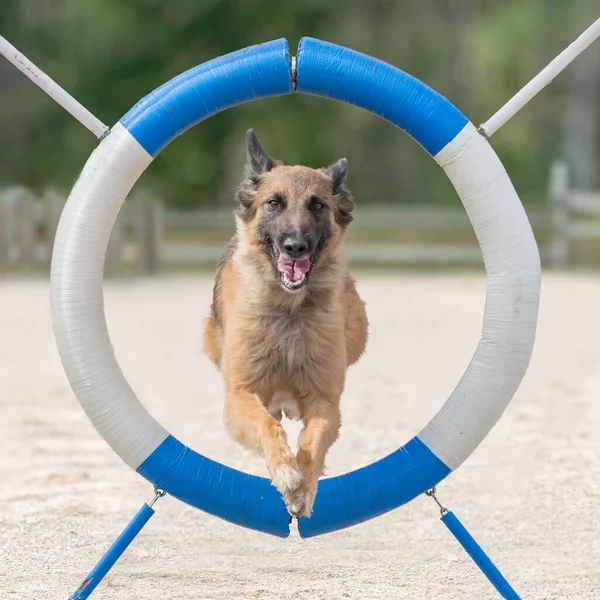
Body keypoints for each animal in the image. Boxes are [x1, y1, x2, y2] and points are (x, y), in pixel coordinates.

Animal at [204, 131, 368, 520]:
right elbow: (267, 423)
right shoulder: (241, 395)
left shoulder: (325, 400)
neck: (288, 311)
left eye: (318, 205)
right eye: (274, 203)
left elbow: (314, 439)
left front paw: (303, 487)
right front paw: (284, 470)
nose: (296, 247)